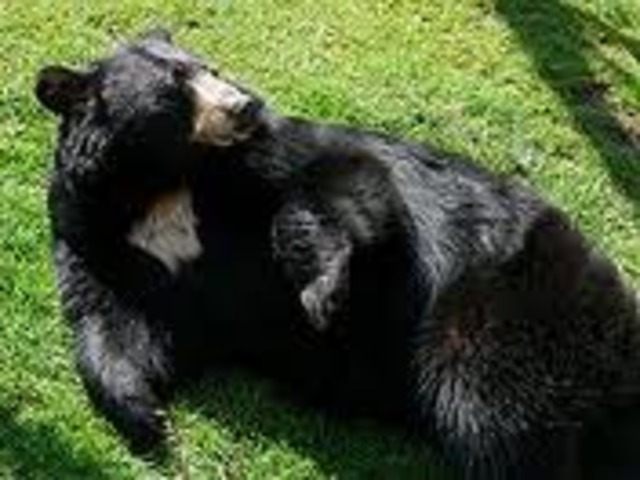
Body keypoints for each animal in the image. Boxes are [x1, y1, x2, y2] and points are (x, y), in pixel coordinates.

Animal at [35, 31, 640, 479]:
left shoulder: (276, 156)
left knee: (500, 412)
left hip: (509, 312)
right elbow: (112, 319)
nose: (244, 104)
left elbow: (345, 183)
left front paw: (323, 294)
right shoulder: (94, 232)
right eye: (175, 86)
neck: (165, 182)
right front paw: (146, 417)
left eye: (211, 69)